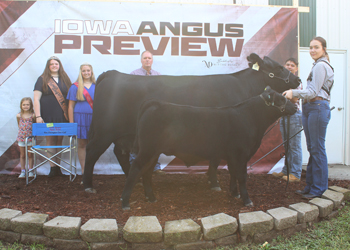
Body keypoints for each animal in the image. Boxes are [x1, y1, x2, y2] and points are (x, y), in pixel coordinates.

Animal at [83, 53, 300, 192]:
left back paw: (132, 179)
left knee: (120, 153)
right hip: (104, 131)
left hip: (124, 134)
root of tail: (111, 74)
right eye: (279, 67)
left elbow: (214, 159)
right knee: (92, 152)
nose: (297, 80)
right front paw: (214, 183)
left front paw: (212, 181)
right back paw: (88, 185)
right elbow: (214, 160)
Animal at [121, 87, 296, 210]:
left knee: (147, 172)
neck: (250, 118)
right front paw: (247, 200)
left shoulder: (233, 155)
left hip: (154, 152)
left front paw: (234, 193)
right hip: (147, 150)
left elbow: (233, 173)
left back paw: (151, 197)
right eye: (281, 98)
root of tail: (155, 102)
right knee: (135, 170)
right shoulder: (240, 154)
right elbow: (242, 176)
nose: (295, 107)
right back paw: (125, 202)